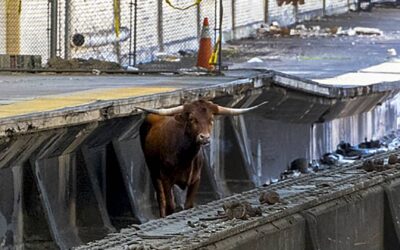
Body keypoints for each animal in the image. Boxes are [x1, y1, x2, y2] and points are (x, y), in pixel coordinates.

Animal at [138, 99, 266, 217]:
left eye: (211, 119)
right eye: (192, 119)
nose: (205, 137)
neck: (185, 157)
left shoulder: (196, 179)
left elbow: (188, 205)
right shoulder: (166, 179)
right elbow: (170, 206)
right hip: (154, 173)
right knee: (161, 200)